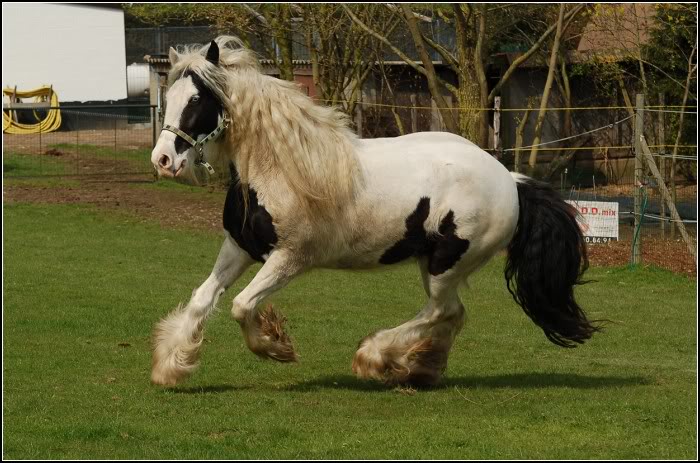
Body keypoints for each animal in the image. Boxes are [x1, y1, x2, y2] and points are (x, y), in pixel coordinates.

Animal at [150, 38, 600, 388]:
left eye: (197, 100)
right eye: (167, 98)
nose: (163, 160)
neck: (282, 169)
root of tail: (509, 179)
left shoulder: (290, 259)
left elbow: (242, 305)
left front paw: (277, 347)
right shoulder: (239, 247)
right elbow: (202, 299)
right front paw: (171, 366)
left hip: (446, 264)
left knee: (442, 311)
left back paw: (375, 357)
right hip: (434, 264)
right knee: (452, 315)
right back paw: (419, 369)